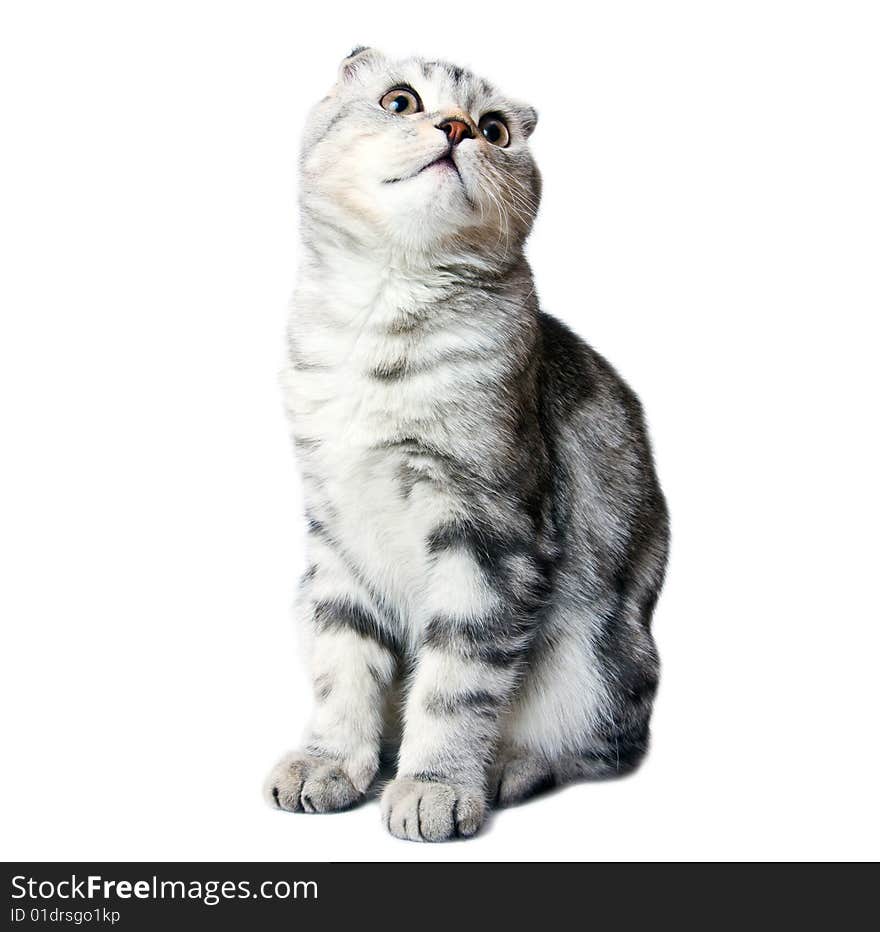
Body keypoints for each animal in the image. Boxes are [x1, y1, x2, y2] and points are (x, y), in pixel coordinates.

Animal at [264, 47, 672, 840]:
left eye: (495, 130)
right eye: (399, 100)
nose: (456, 128)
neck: (380, 316)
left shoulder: (488, 532)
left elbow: (455, 682)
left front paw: (434, 785)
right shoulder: (335, 535)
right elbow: (343, 665)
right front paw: (330, 762)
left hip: (598, 653)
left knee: (601, 746)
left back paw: (507, 768)